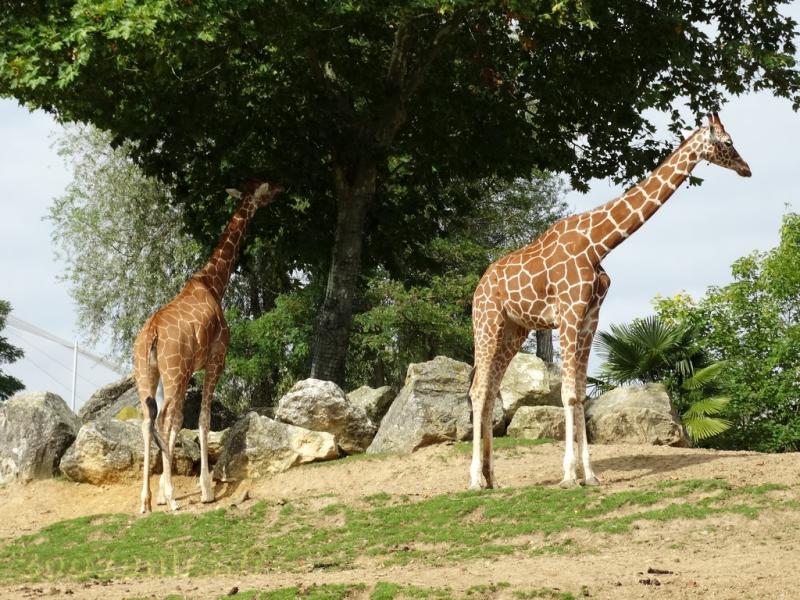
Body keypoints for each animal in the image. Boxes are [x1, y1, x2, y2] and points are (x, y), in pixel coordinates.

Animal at [133, 180, 283, 513]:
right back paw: (173, 500)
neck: (213, 283)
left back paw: (145, 502)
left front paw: (161, 491)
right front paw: (205, 489)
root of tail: (151, 333)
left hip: (147, 374)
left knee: (148, 421)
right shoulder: (216, 359)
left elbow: (179, 423)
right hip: (173, 372)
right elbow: (201, 420)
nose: (280, 191)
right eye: (263, 189)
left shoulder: (191, 370)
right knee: (161, 419)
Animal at [469, 113, 751, 490]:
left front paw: (590, 475)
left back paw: (491, 478)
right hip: (487, 321)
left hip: (514, 330)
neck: (598, 243)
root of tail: (479, 286)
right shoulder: (569, 313)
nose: (746, 169)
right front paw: (569, 477)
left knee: (490, 391)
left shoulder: (591, 317)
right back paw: (474, 480)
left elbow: (581, 394)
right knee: (478, 390)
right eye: (728, 142)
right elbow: (568, 394)